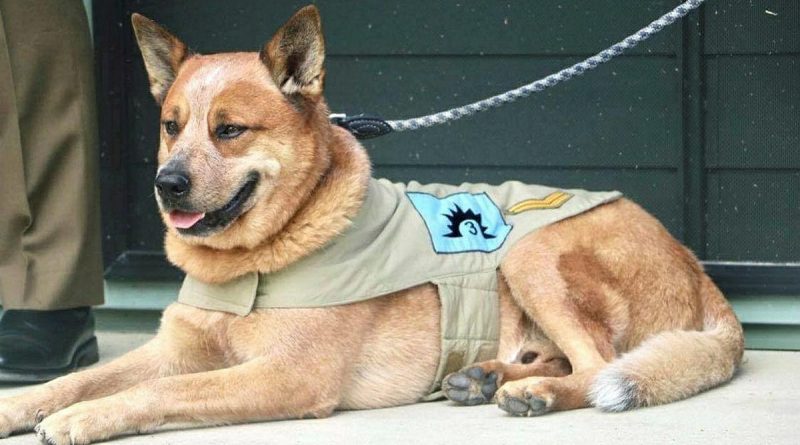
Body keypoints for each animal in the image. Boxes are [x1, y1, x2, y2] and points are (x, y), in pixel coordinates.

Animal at [0, 5, 744, 442]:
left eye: (231, 130)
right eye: (170, 126)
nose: (166, 184)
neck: (250, 264)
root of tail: (699, 272)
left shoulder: (288, 376)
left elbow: (166, 389)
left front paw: (83, 417)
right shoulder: (173, 347)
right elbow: (85, 377)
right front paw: (25, 404)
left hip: (529, 252)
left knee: (598, 365)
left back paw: (530, 391)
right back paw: (487, 375)